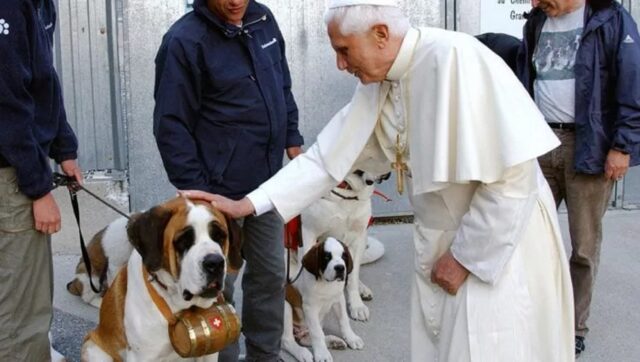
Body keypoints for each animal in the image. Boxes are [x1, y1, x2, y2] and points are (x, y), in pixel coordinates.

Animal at [78, 198, 242, 362]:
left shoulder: (210, 353)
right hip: (93, 349)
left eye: (220, 236)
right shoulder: (142, 356)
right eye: (183, 240)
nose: (215, 263)